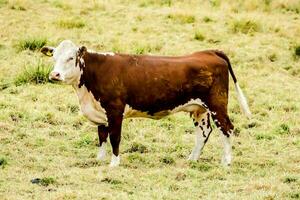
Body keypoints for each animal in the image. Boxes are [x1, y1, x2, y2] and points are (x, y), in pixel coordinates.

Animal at [40, 39, 251, 166]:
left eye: (71, 58)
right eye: (55, 57)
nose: (54, 75)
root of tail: (209, 52)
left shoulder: (115, 110)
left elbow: (115, 138)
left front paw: (114, 164)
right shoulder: (100, 112)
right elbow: (102, 136)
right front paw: (99, 160)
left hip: (217, 104)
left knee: (227, 128)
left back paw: (226, 162)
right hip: (200, 109)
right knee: (203, 133)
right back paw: (191, 159)